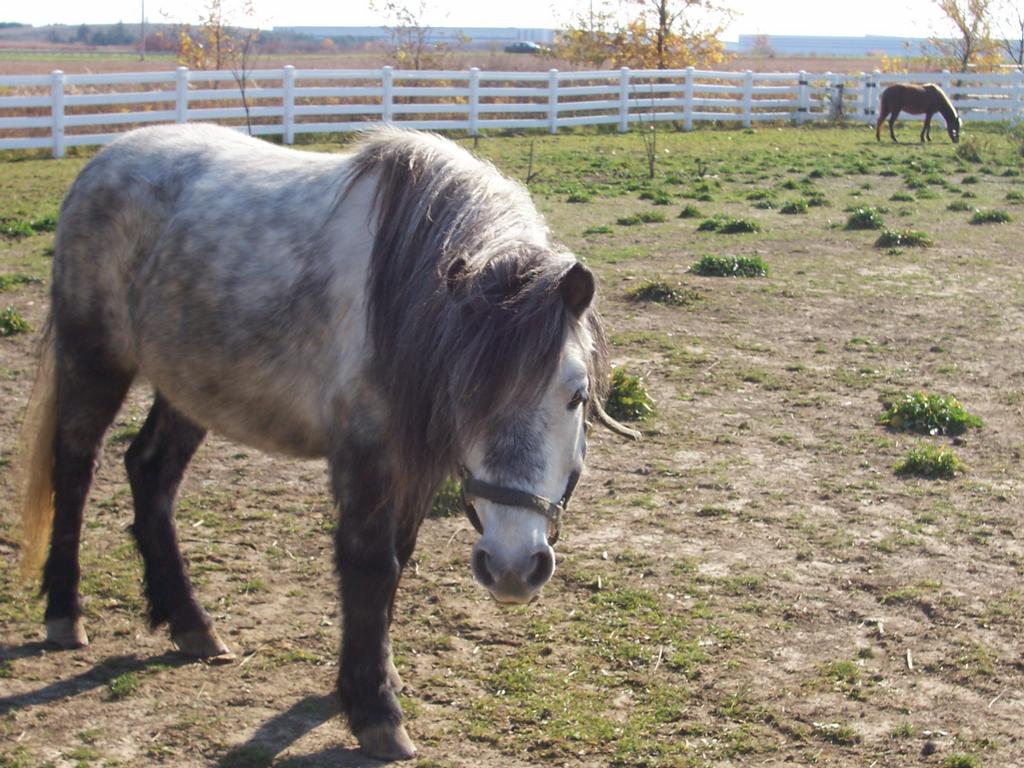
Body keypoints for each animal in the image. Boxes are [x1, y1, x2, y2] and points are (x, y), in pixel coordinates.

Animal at [18, 123, 635, 760]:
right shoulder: (365, 457)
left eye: (576, 395)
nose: (513, 569)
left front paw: (376, 679)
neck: (403, 292)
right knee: (75, 470)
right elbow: (371, 567)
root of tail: (105, 159)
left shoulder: (411, 468)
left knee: (149, 473)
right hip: (95, 360)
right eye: (462, 393)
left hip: (188, 386)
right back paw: (65, 614)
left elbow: (398, 559)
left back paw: (190, 624)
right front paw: (374, 711)